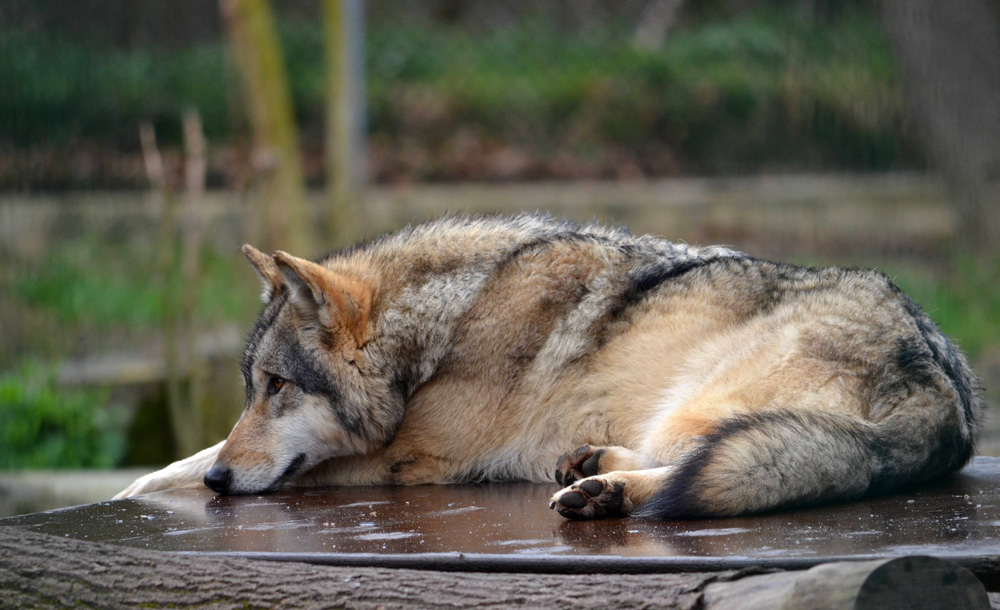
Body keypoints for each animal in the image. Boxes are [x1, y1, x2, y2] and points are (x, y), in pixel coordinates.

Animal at [116, 214, 983, 519]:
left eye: (279, 387)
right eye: (251, 391)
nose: (227, 482)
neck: (447, 326)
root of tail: (948, 394)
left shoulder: (411, 462)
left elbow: (190, 469)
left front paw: (171, 484)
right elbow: (182, 458)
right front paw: (142, 485)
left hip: (693, 404)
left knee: (697, 468)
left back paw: (604, 494)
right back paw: (593, 469)